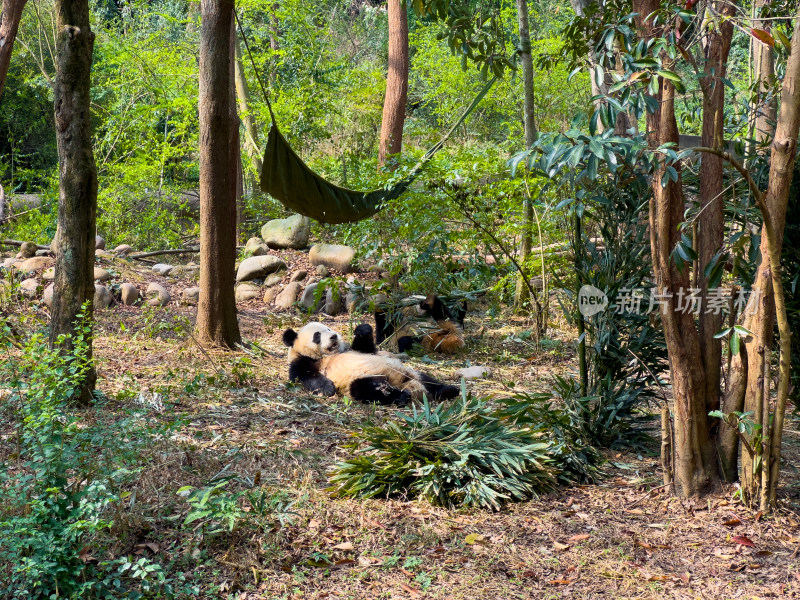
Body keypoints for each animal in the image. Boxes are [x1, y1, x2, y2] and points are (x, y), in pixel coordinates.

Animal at [282, 322, 460, 406]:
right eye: (317, 336)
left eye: (328, 328)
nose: (333, 336)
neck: (328, 354)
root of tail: (408, 385)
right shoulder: (302, 362)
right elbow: (307, 377)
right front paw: (327, 388)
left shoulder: (357, 350)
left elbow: (366, 347)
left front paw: (363, 329)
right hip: (362, 380)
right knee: (366, 389)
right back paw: (400, 396)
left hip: (407, 371)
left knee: (428, 380)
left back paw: (450, 390)